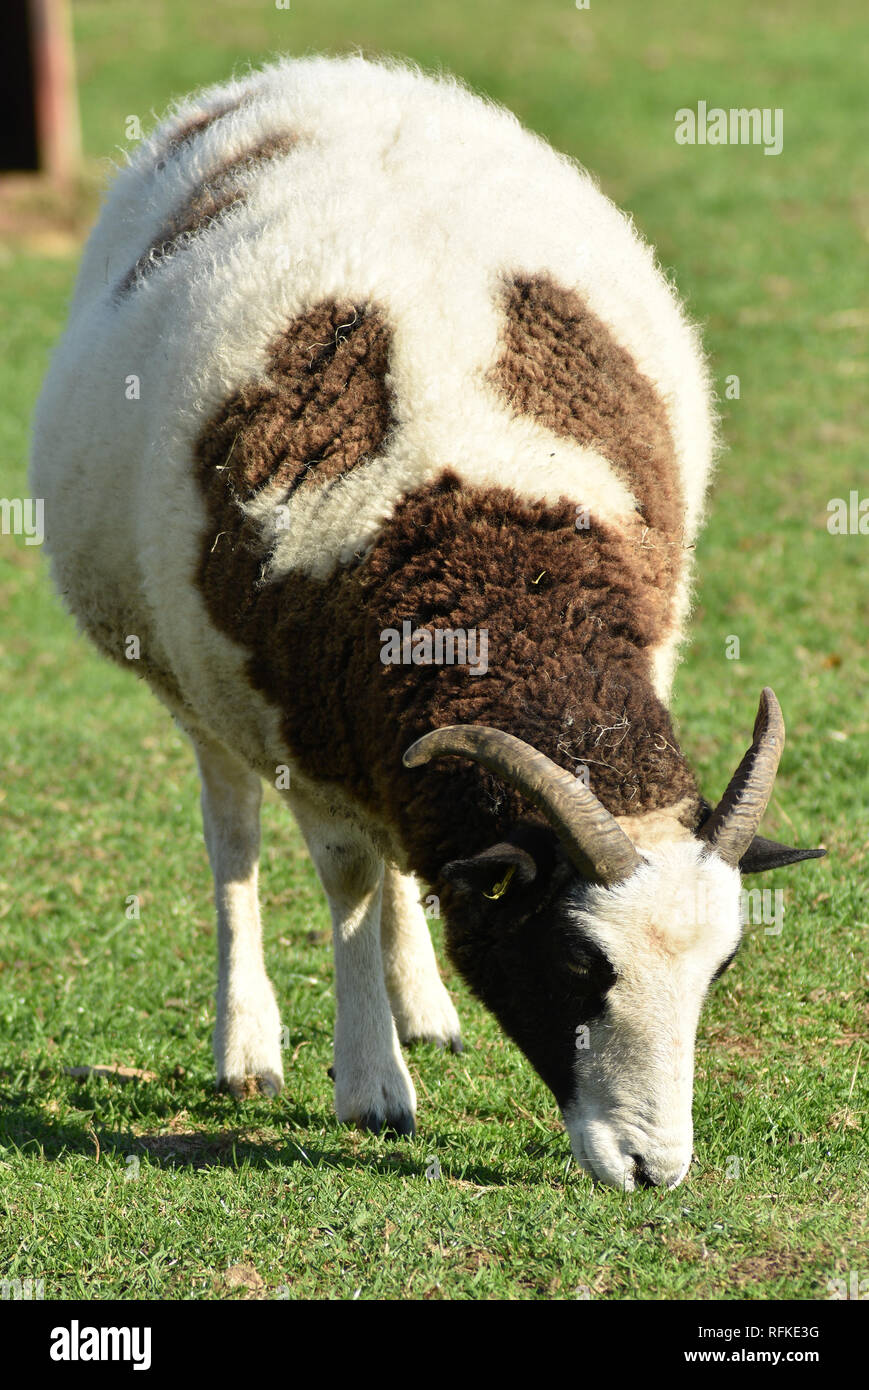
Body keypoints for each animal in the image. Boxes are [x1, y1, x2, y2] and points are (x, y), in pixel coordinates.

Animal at [30, 54, 824, 1190]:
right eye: (576, 961)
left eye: (722, 965)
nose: (652, 1170)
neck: (487, 552)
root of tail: (315, 71)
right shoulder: (294, 725)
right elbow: (348, 879)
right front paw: (370, 1086)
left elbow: (403, 866)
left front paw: (402, 1024)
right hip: (195, 683)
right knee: (234, 841)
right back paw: (248, 1046)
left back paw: (423, 1009)